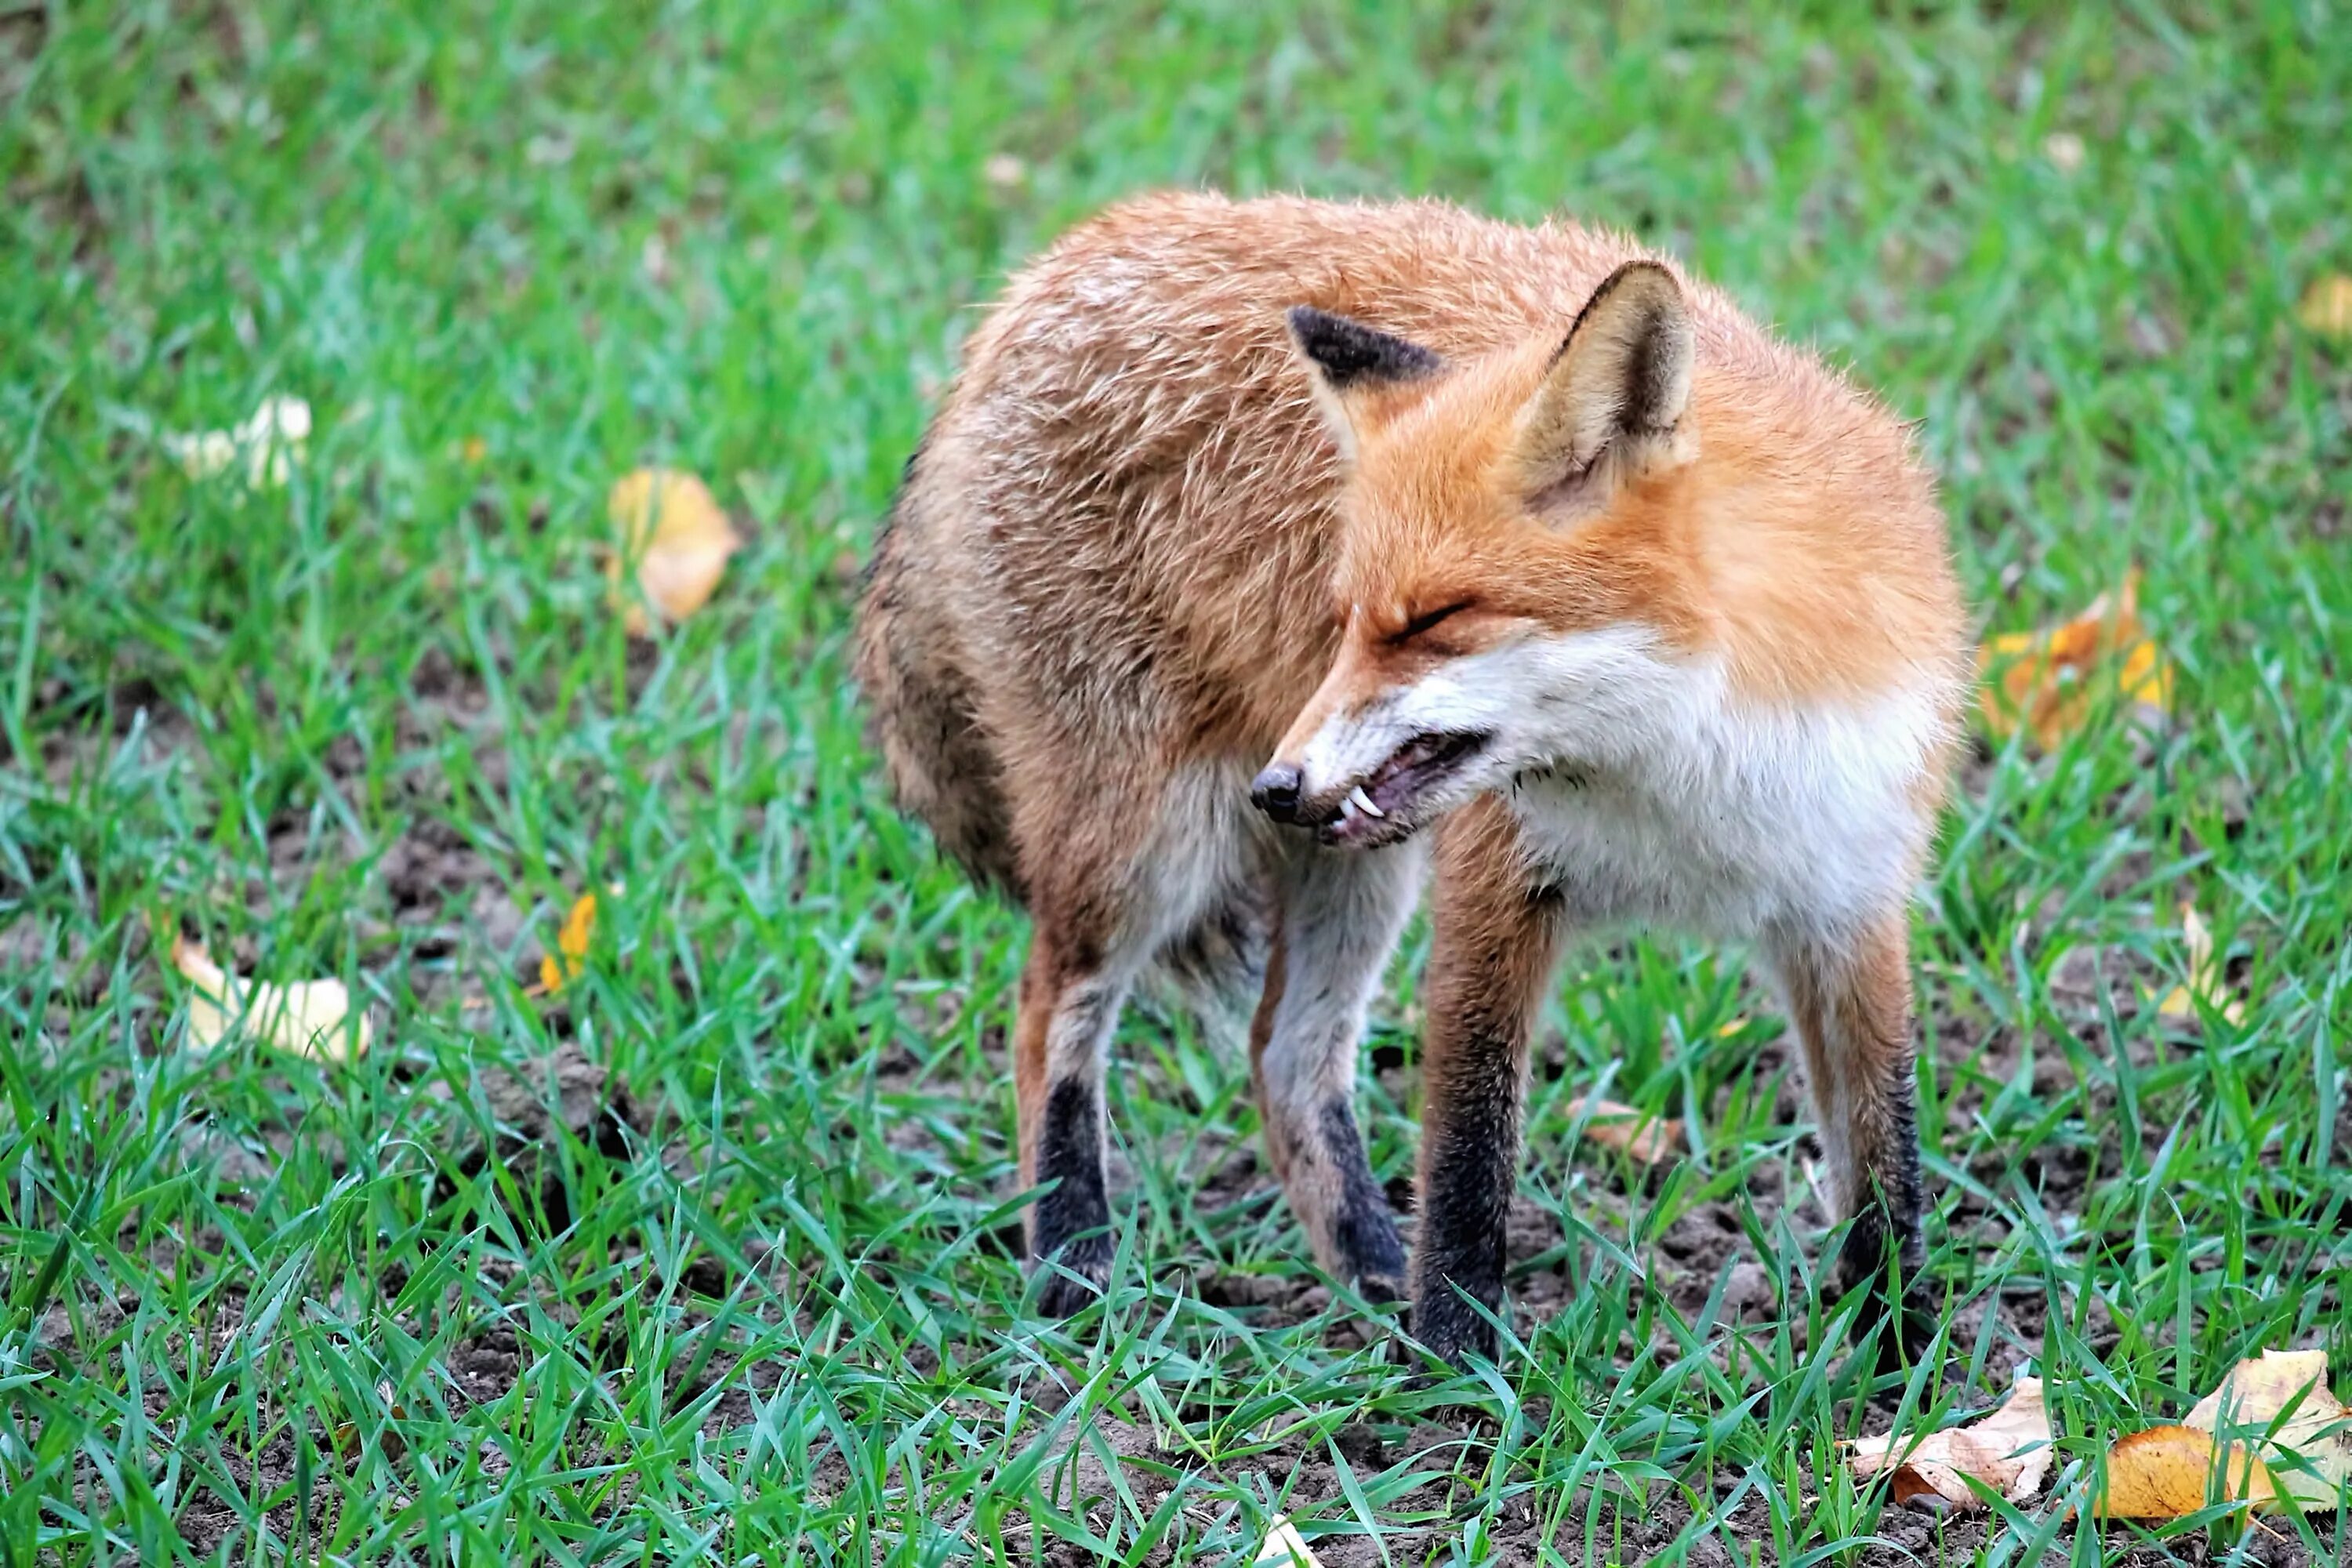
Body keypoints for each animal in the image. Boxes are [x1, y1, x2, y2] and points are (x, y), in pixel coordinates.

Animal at [851, 190, 1966, 1363]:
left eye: (1433, 619)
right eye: (1344, 619)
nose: (1276, 787)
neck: (1683, 775)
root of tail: (1045, 275)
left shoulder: (1848, 899)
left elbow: (1886, 1157)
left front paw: (1899, 1359)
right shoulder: (1496, 889)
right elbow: (1470, 1158)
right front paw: (1459, 1367)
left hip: (1354, 869)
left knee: (1285, 1056)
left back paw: (1367, 1268)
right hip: (1149, 849)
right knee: (1047, 1012)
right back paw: (1072, 1265)